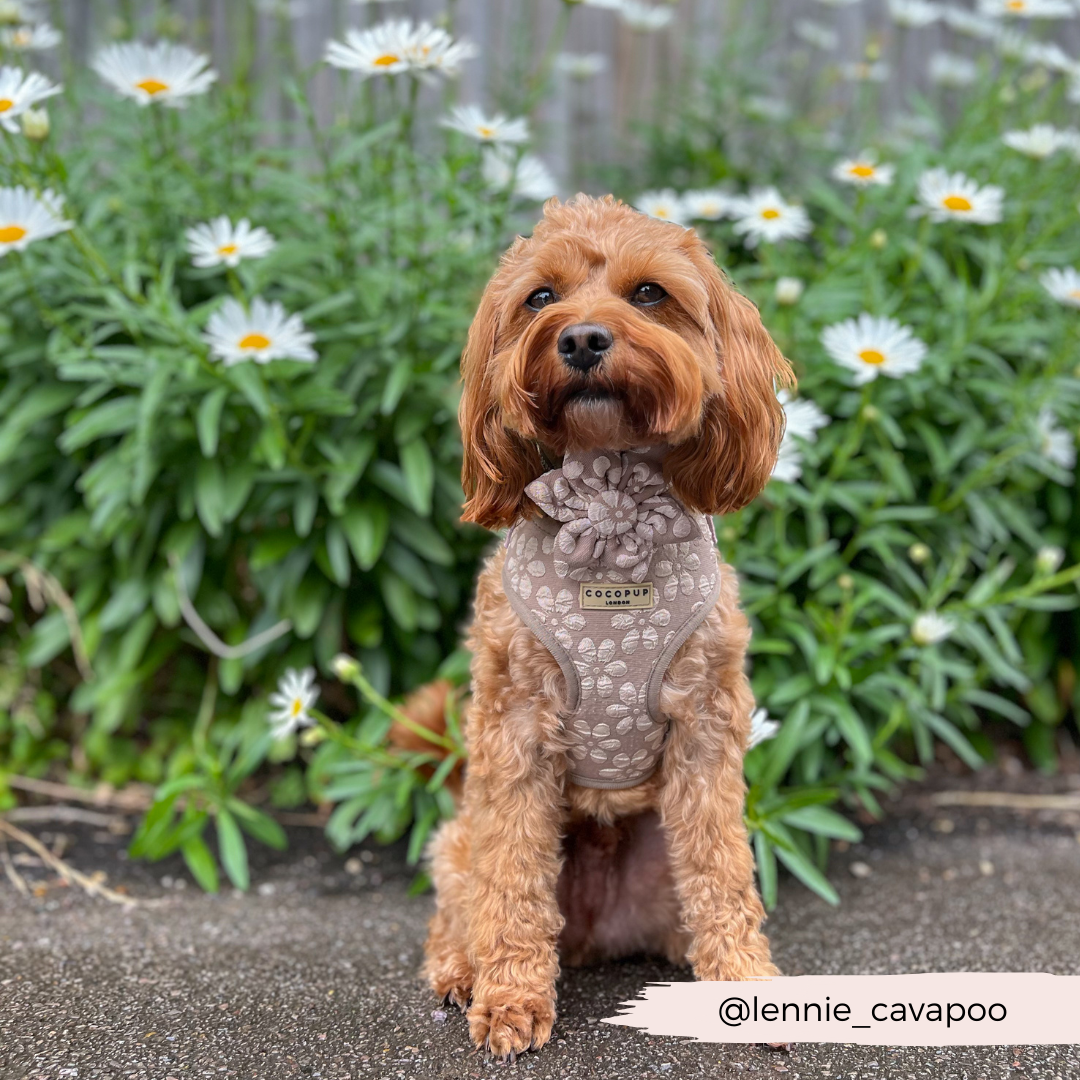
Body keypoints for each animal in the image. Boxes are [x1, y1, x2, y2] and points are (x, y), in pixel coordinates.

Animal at [421, 192, 794, 1054]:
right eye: (540, 297)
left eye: (649, 293)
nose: (583, 339)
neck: (611, 498)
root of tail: (595, 933)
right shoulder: (515, 731)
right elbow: (512, 881)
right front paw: (511, 999)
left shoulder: (705, 729)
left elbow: (725, 875)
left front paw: (746, 984)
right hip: (458, 836)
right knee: (466, 902)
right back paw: (460, 970)